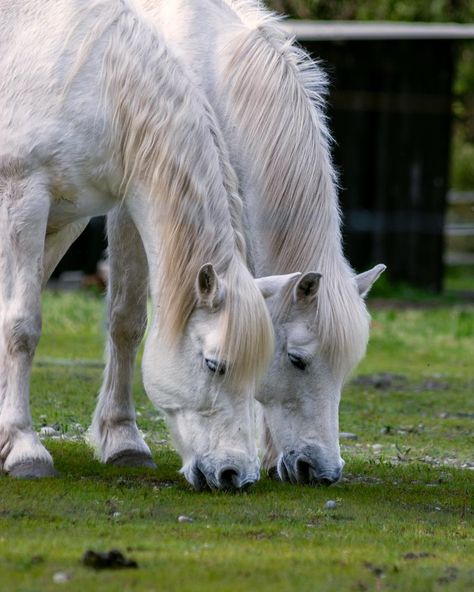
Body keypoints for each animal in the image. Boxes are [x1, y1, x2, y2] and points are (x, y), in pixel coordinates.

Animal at [0, 0, 274, 490]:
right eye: (214, 364)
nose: (235, 474)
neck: (96, 80)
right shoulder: (23, 199)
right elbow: (21, 326)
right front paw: (24, 449)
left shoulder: (67, 216)